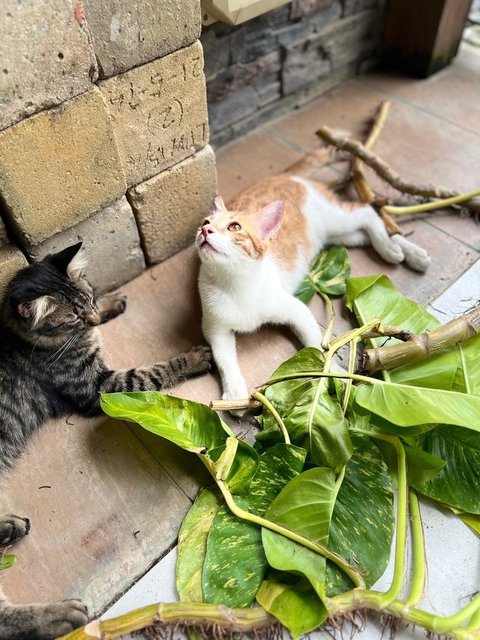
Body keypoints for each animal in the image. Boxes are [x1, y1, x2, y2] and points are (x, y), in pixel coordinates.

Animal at [0, 242, 212, 636]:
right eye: (72, 318)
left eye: (87, 299)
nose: (95, 320)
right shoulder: (101, 387)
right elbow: (152, 373)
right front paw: (191, 359)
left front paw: (111, 301)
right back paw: (61, 614)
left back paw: (9, 526)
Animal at [196, 172, 432, 408]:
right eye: (205, 222)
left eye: (235, 227)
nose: (205, 230)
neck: (235, 281)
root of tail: (286, 176)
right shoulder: (215, 328)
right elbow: (223, 358)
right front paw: (234, 392)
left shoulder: (296, 310)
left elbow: (315, 342)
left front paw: (331, 371)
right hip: (339, 236)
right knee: (363, 231)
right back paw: (402, 249)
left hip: (335, 220)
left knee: (366, 212)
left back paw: (397, 249)